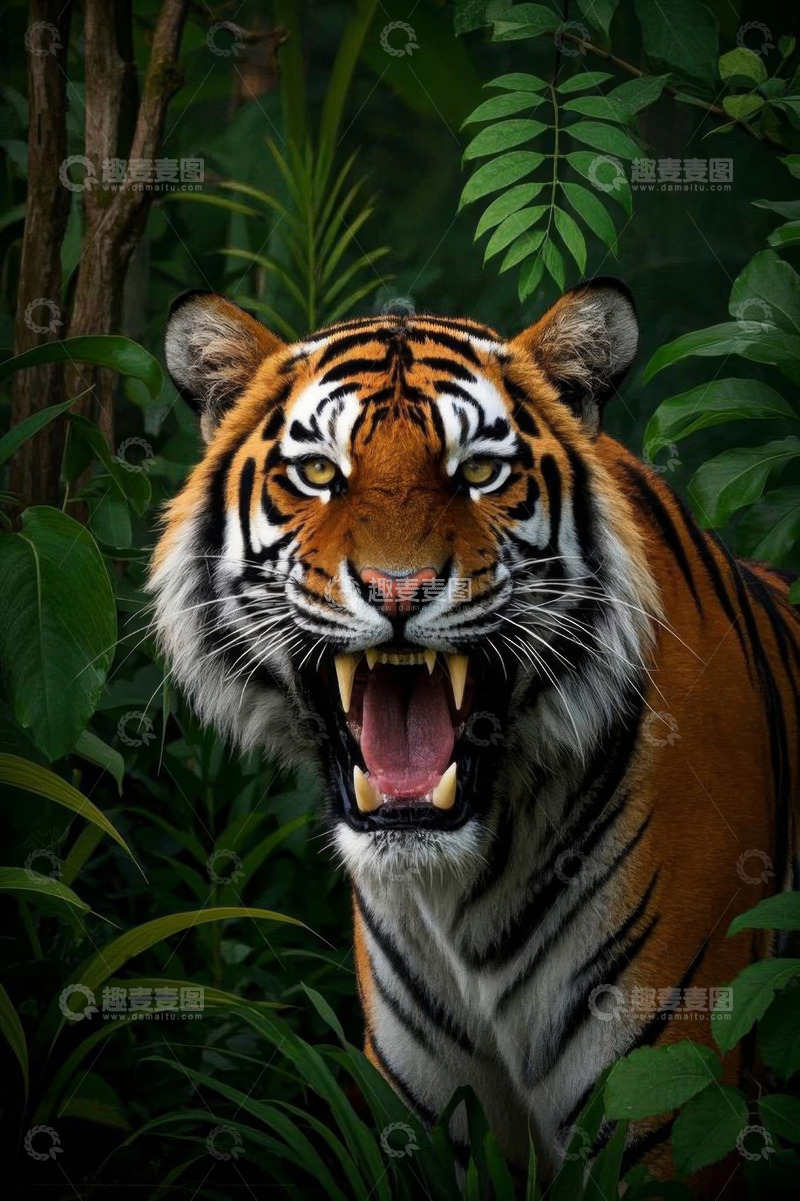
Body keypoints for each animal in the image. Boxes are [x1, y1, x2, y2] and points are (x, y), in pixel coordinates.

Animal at [150, 280, 799, 1192]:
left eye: (481, 472)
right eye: (318, 473)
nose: (399, 588)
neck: (466, 890)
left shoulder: (669, 1099)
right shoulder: (424, 1118)